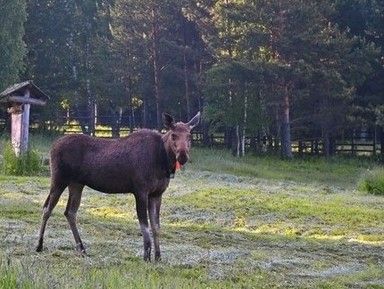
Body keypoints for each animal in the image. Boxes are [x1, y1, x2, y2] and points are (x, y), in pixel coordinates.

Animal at [35, 111, 201, 260]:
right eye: (173, 135)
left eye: (189, 136)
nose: (183, 155)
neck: (163, 162)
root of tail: (53, 146)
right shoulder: (140, 190)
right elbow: (144, 226)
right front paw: (146, 257)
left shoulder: (157, 194)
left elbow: (156, 227)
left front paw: (158, 257)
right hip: (59, 179)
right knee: (47, 208)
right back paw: (39, 245)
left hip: (76, 183)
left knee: (70, 212)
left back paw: (81, 249)